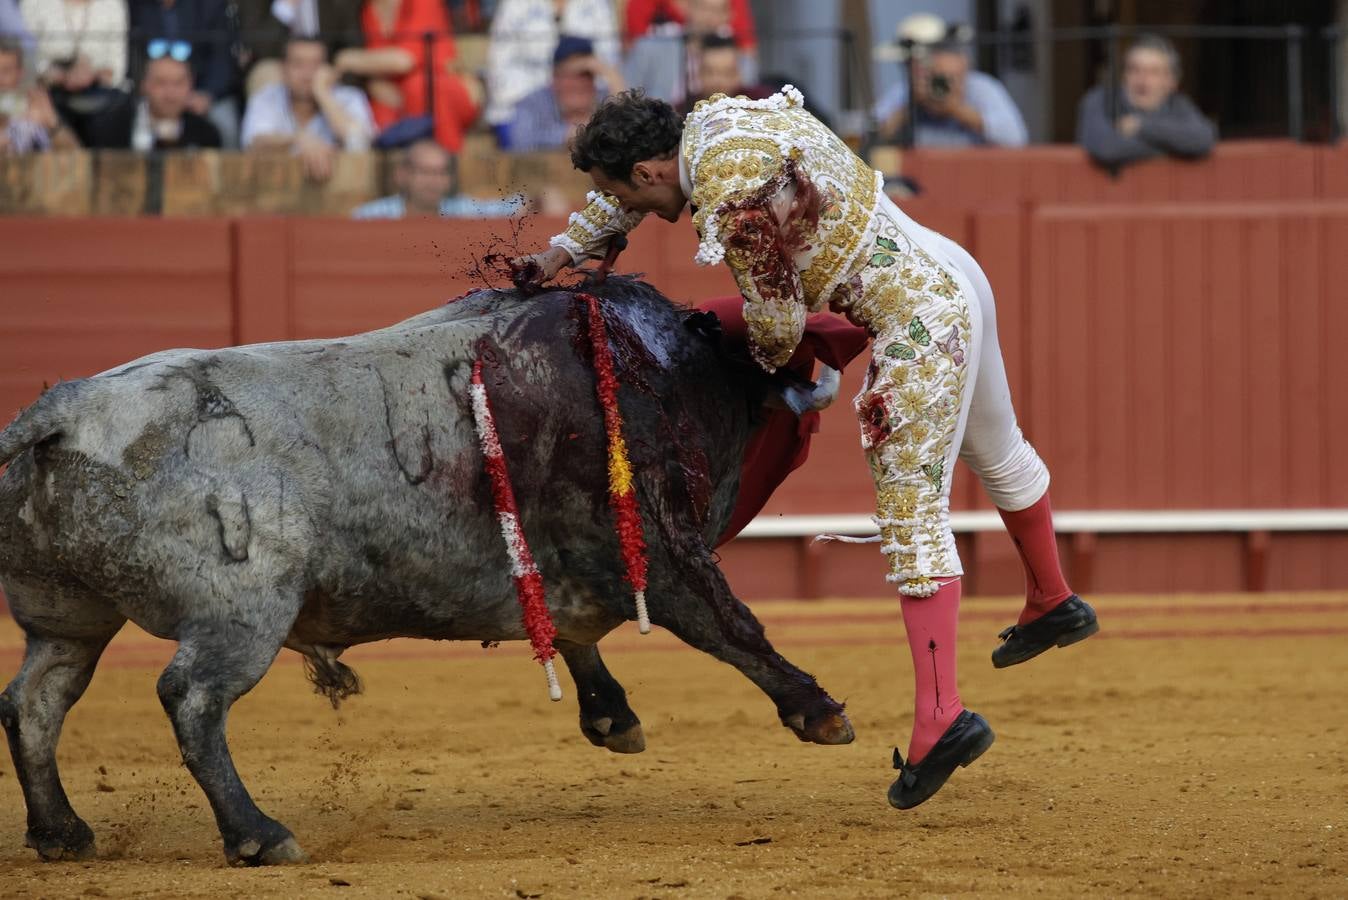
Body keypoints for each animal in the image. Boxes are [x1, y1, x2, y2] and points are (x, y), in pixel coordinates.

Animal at [0, 278, 851, 862]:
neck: (670, 368)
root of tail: (62, 410)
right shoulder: (666, 549)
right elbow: (732, 626)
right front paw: (819, 711)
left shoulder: (572, 566)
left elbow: (573, 631)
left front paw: (612, 716)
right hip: (240, 612)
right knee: (192, 699)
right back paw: (258, 834)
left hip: (65, 617)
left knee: (35, 702)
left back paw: (63, 832)